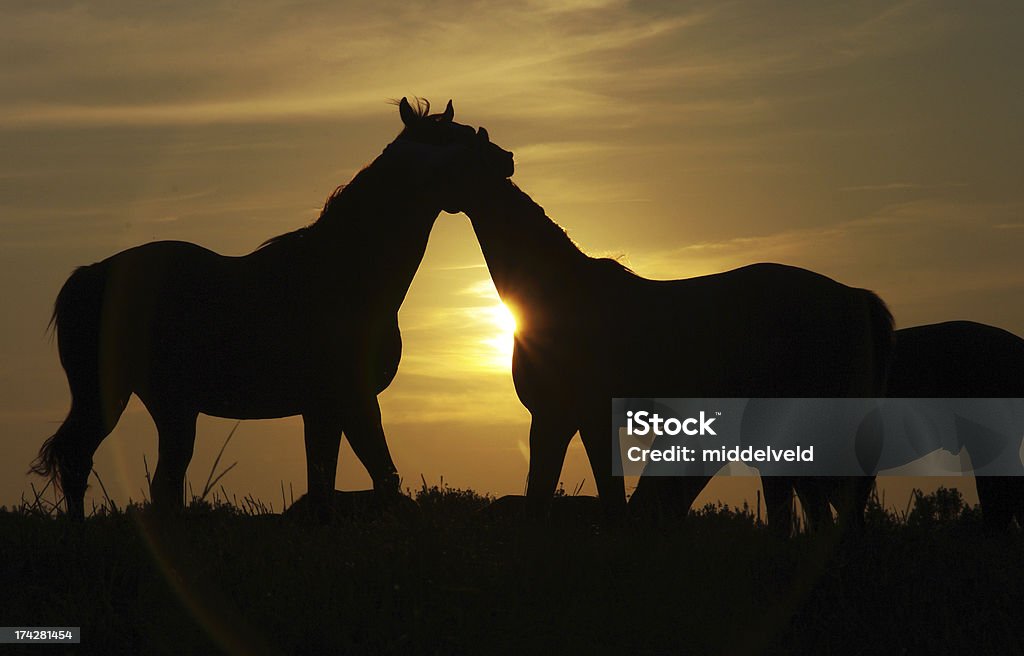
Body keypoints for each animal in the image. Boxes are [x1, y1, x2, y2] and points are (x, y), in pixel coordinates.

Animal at [30, 98, 512, 515]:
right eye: (455, 138)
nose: (506, 158)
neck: (347, 272)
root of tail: (92, 274)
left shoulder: (324, 407)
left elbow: (327, 484)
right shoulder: (350, 399)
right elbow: (378, 477)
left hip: (166, 405)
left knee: (149, 478)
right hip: (121, 398)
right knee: (85, 463)